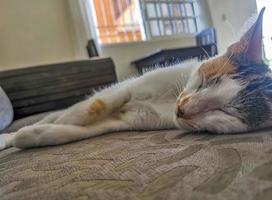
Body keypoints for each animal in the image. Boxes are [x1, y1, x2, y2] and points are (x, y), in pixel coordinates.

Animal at [0, 8, 268, 150]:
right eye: (204, 82)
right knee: (62, 111)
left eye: (224, 112)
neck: (170, 99)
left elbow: (79, 130)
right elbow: (95, 105)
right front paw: (28, 131)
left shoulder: (130, 120)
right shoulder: (128, 86)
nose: (181, 110)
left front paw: (33, 135)